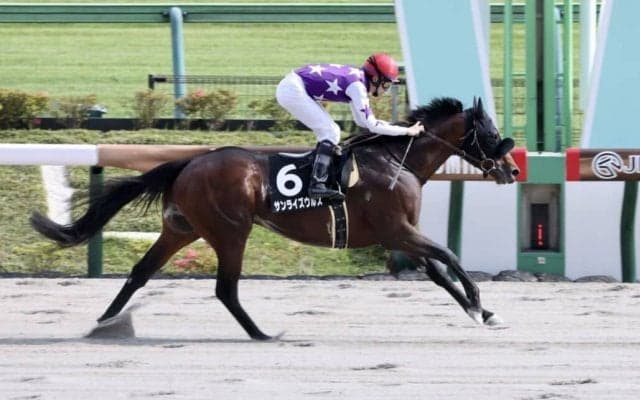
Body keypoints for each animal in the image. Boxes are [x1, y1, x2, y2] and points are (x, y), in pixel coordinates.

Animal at [31, 96, 519, 341]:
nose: (512, 170)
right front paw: (479, 304)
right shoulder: (398, 229)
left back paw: (104, 325)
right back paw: (263, 334)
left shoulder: (397, 237)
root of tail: (188, 163)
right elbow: (450, 256)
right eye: (491, 132)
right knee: (225, 289)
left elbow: (438, 273)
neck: (395, 160)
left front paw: (485, 312)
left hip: (181, 230)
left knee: (140, 272)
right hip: (230, 231)